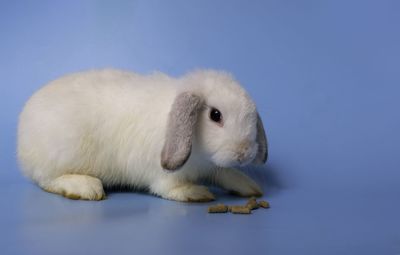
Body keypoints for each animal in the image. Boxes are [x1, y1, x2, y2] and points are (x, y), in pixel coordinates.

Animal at [18, 69, 268, 201]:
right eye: (215, 115)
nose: (244, 153)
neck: (199, 153)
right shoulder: (165, 176)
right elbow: (170, 189)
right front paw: (196, 192)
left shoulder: (213, 167)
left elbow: (225, 173)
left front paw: (250, 186)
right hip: (60, 155)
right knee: (46, 180)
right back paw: (85, 187)